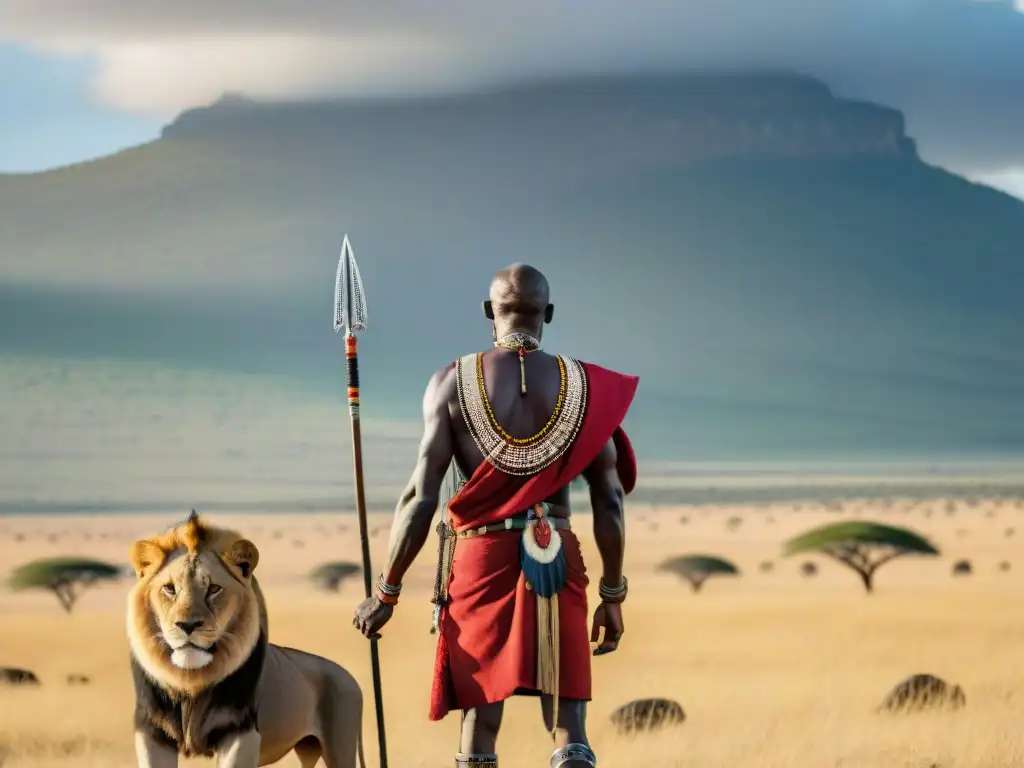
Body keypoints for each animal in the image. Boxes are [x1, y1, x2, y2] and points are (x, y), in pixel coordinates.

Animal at [127, 512, 366, 768]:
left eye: (214, 589)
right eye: (170, 589)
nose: (187, 625)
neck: (190, 683)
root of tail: (349, 677)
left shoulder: (241, 730)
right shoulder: (151, 732)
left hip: (340, 745)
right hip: (308, 748)